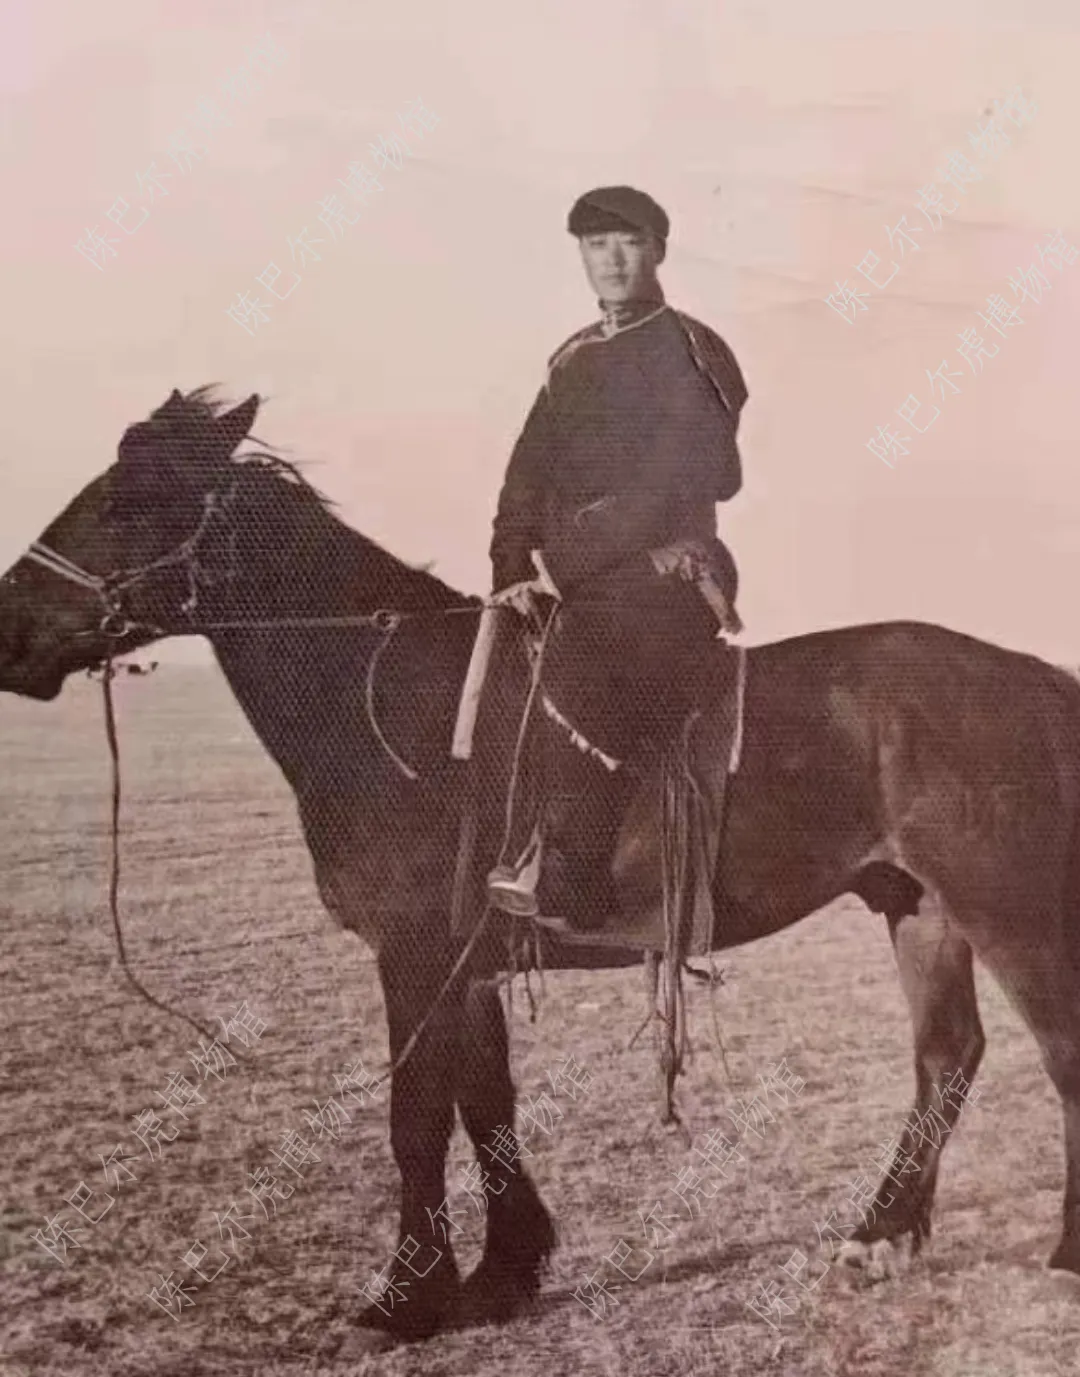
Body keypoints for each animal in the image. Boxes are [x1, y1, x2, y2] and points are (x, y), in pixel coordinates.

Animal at [2, 386, 1080, 1343]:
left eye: (129, 501)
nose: (9, 632)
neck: (394, 705)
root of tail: (1035, 676)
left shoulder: (416, 959)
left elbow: (415, 1121)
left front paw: (405, 1300)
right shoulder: (469, 964)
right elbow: (487, 1108)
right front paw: (502, 1273)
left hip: (1011, 910)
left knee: (1057, 1052)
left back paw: (1061, 1256)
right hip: (920, 906)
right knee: (945, 1058)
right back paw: (878, 1235)